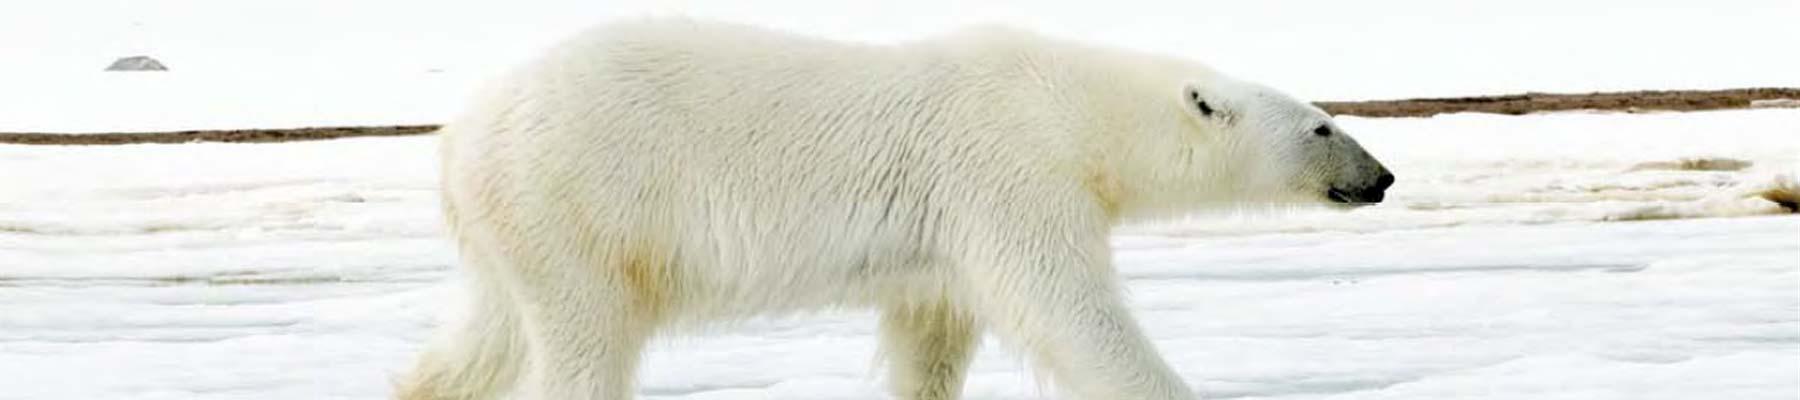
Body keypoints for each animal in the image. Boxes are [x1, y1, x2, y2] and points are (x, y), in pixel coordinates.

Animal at [397, 18, 1393, 400]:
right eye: (1322, 124)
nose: (1381, 177)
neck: (1070, 107)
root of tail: (458, 136)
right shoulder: (1008, 173)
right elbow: (1069, 311)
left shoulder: (939, 245)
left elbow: (931, 335)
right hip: (581, 203)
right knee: (582, 341)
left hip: (516, 228)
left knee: (486, 337)